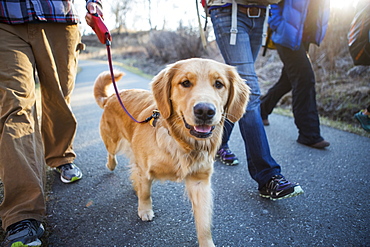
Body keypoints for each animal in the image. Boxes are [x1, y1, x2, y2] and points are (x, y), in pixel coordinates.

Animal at [93, 57, 249, 245]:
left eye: (219, 84)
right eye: (185, 82)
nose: (205, 111)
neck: (180, 142)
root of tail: (111, 97)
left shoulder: (200, 181)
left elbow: (204, 223)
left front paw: (207, 242)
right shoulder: (145, 169)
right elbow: (146, 192)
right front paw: (145, 210)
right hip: (112, 141)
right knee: (112, 153)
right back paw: (111, 165)